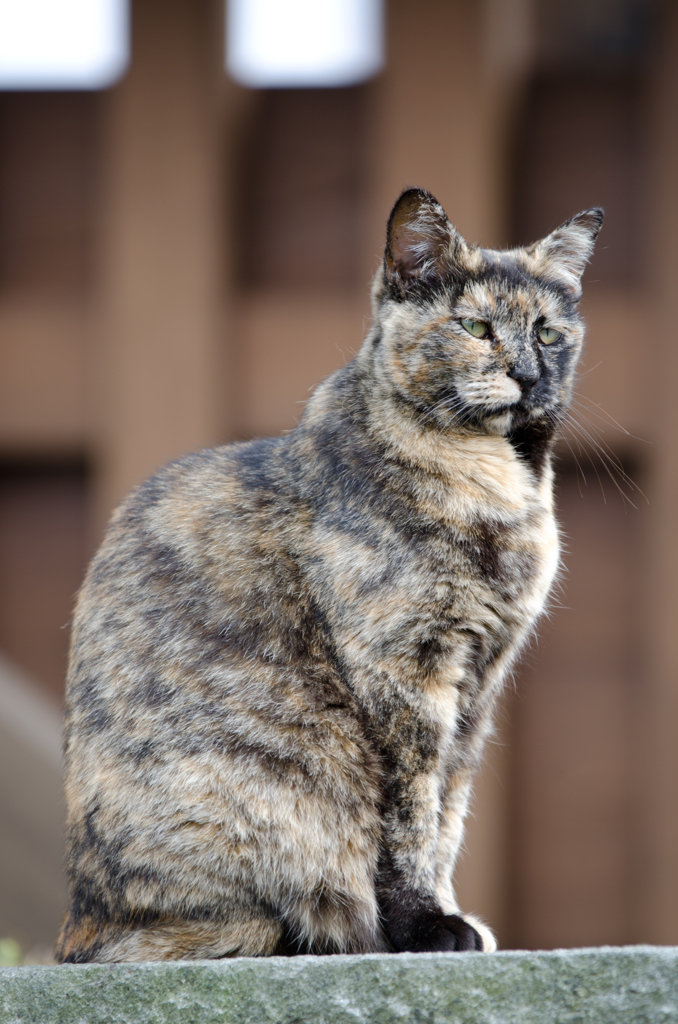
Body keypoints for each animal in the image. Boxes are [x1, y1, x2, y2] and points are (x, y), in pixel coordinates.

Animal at [54, 190, 606, 958]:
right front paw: (429, 925)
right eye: (475, 326)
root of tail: (80, 928)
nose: (528, 375)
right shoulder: (403, 674)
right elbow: (408, 817)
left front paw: (445, 912)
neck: (503, 489)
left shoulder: (478, 688)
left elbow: (450, 812)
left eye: (548, 333)